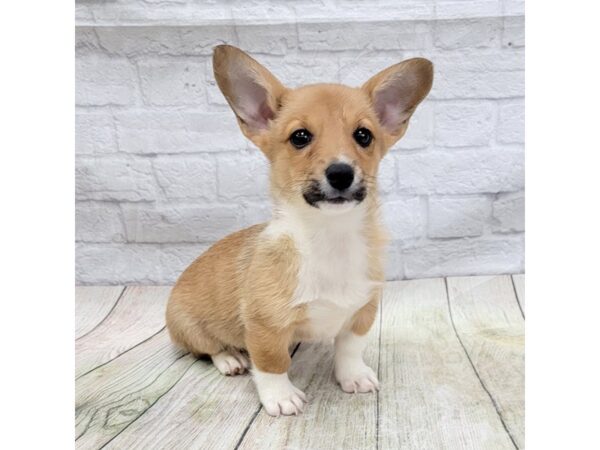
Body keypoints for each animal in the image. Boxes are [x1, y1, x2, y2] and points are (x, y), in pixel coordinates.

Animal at [166, 44, 434, 416]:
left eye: (363, 135)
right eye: (300, 137)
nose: (341, 173)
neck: (329, 237)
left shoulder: (361, 312)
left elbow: (350, 349)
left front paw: (353, 376)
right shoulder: (264, 325)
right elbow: (272, 363)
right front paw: (281, 397)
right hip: (189, 327)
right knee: (208, 348)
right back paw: (230, 359)